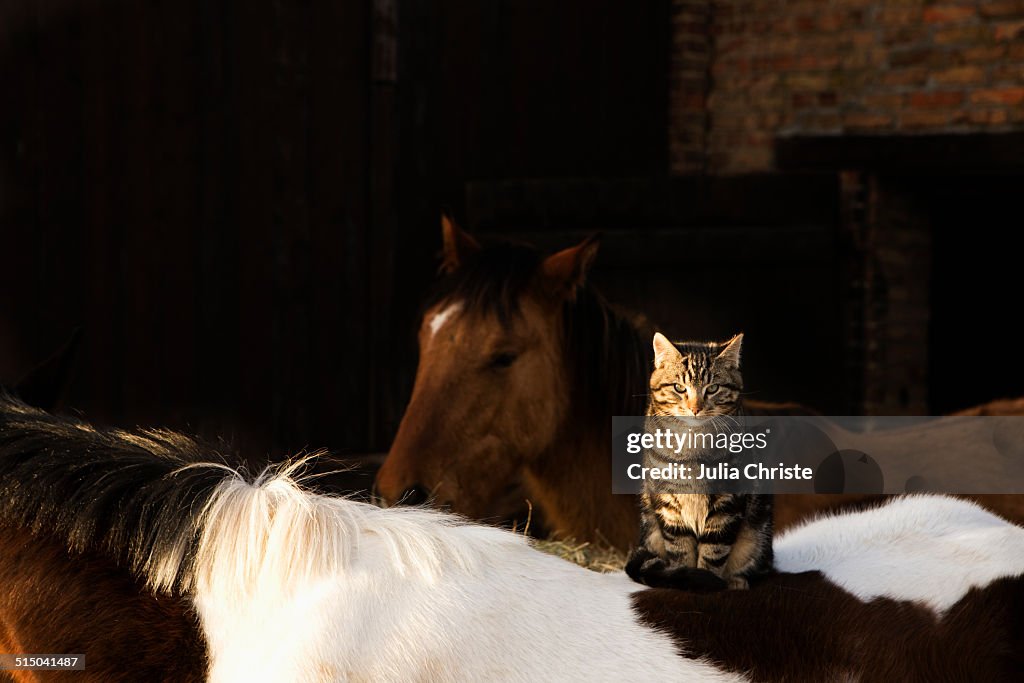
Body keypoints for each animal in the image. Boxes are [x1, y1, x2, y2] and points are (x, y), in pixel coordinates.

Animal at [622, 333, 774, 589]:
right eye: (678, 387)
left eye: (712, 388)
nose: (695, 408)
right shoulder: (668, 504)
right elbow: (681, 551)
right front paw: (688, 579)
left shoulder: (727, 503)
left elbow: (714, 551)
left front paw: (709, 580)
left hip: (757, 535)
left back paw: (737, 580)